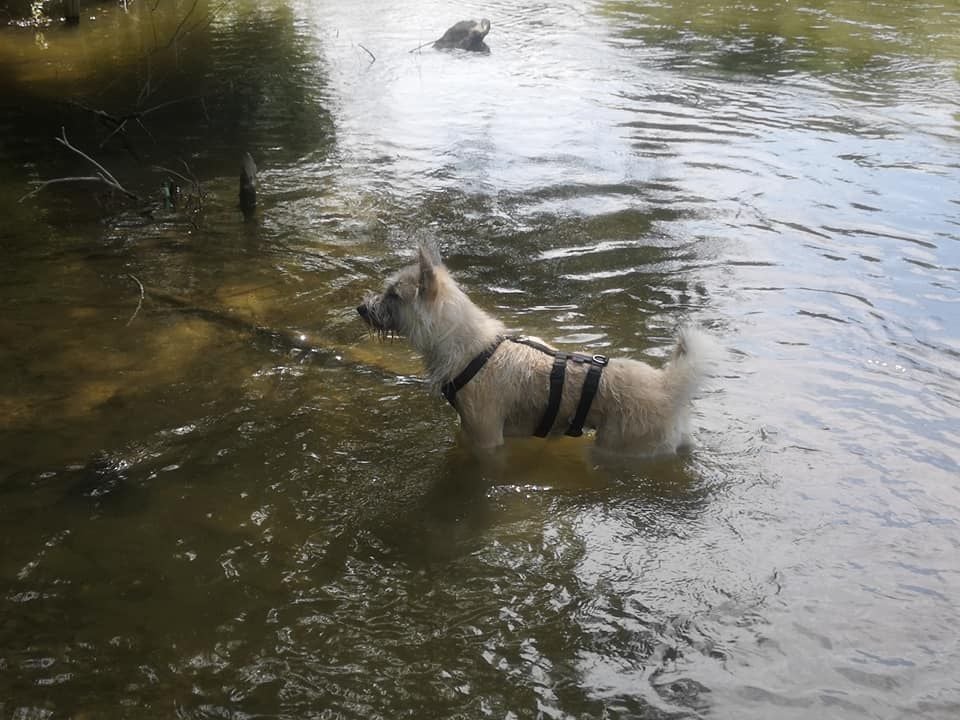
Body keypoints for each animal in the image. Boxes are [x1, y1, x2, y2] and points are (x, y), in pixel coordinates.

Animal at [357, 244, 714, 455]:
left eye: (393, 295)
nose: (361, 308)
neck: (466, 346)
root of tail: (668, 387)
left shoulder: (485, 437)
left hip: (616, 448)